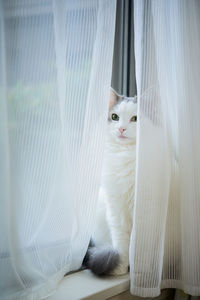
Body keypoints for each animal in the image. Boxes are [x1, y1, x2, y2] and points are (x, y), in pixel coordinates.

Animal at [83, 88, 138, 276]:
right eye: (115, 117)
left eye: (135, 119)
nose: (121, 128)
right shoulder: (116, 210)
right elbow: (121, 244)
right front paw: (120, 269)